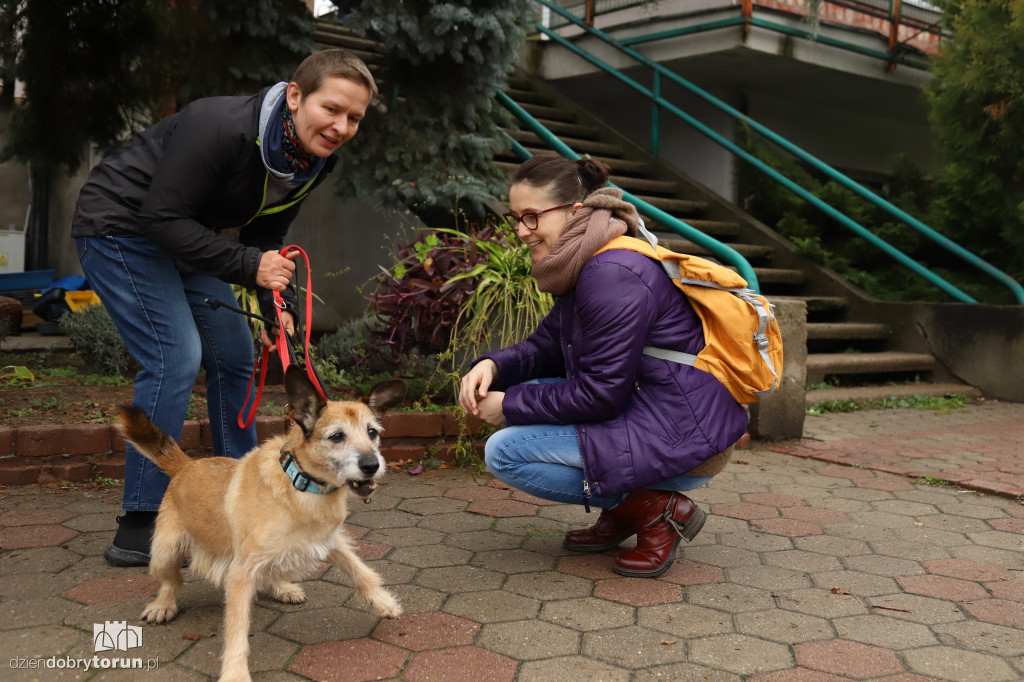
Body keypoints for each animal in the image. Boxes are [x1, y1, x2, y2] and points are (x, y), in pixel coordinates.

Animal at [117, 364, 405, 679]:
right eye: (336, 436)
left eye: (372, 432)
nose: (372, 465)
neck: (301, 484)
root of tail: (187, 465)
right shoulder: (240, 572)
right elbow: (237, 629)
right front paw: (234, 672)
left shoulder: (329, 540)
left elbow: (359, 570)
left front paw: (382, 601)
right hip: (166, 550)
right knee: (172, 580)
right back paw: (163, 605)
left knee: (272, 571)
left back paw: (283, 587)